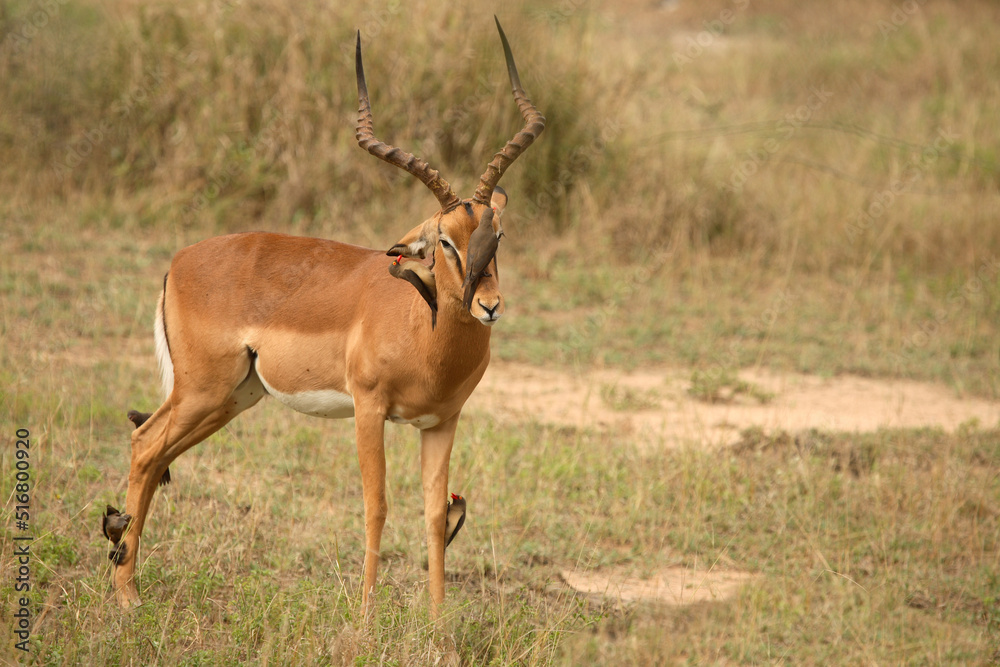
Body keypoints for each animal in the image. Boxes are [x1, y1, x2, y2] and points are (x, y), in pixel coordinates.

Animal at [107, 18, 544, 617]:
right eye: (444, 242)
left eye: (496, 235)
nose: (489, 305)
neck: (422, 332)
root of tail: (178, 262)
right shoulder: (369, 409)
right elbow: (376, 506)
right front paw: (364, 618)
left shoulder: (441, 421)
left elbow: (435, 515)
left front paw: (437, 624)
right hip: (203, 389)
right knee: (145, 444)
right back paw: (127, 595)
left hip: (232, 398)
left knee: (154, 454)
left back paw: (129, 583)